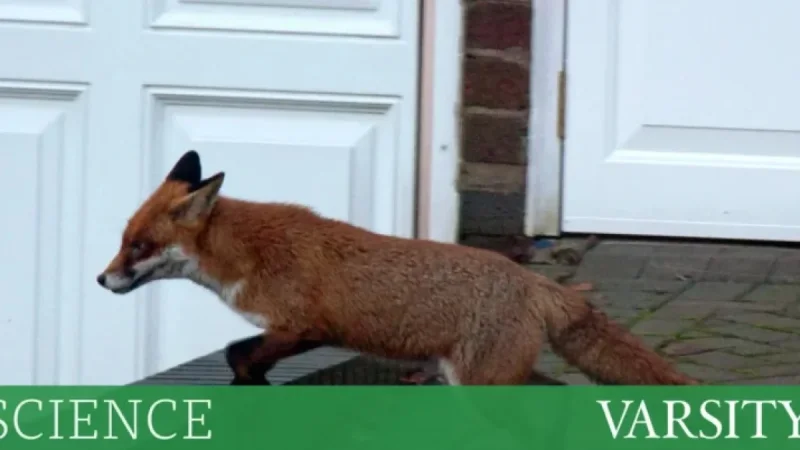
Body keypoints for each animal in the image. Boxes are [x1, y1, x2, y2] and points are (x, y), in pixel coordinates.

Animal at [97, 150, 698, 386]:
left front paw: (250, 378)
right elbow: (241, 354)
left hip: (482, 385)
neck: (247, 252)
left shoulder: (305, 326)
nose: (102, 281)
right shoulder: (302, 331)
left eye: (140, 246)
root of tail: (534, 281)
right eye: (122, 241)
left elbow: (236, 352)